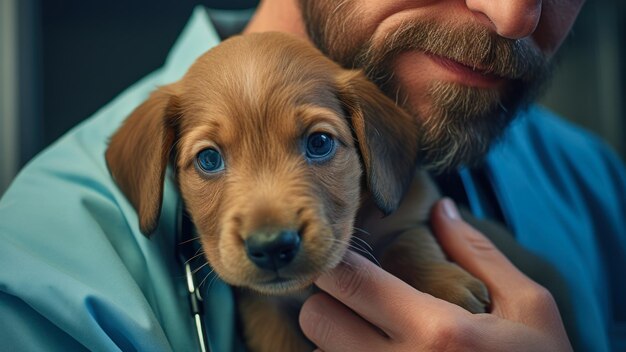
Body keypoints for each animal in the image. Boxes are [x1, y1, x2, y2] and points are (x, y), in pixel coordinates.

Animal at [106, 31, 488, 350]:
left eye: (319, 142)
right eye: (209, 159)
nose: (272, 247)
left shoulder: (410, 210)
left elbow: (408, 243)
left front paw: (444, 286)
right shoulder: (265, 308)